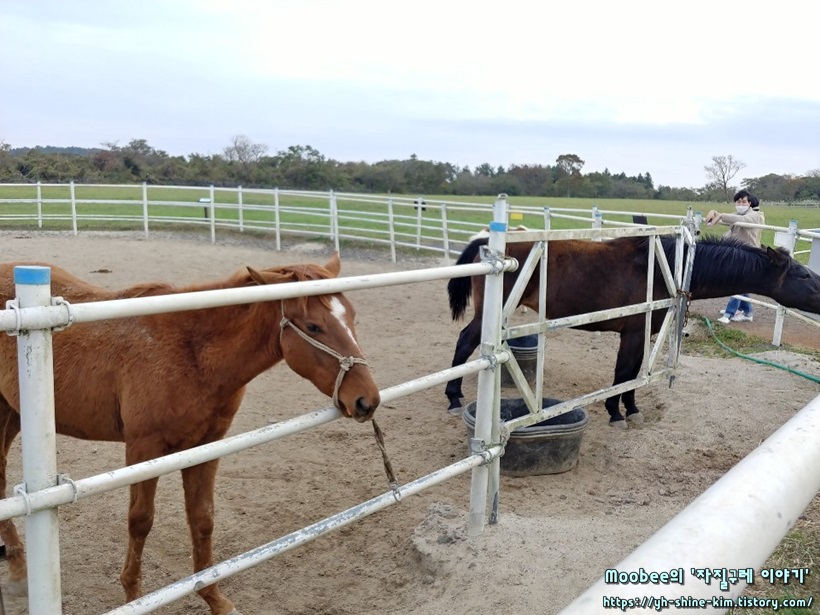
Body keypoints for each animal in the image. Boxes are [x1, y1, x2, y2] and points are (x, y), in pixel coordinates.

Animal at [0, 254, 380, 615]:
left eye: (352, 316)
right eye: (314, 326)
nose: (367, 400)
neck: (191, 352)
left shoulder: (205, 446)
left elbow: (202, 518)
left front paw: (215, 599)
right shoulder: (143, 449)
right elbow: (140, 521)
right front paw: (134, 598)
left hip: (14, 415)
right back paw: (19, 573)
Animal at [448, 236, 820, 424]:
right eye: (803, 275)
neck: (664, 266)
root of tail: (487, 245)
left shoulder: (644, 333)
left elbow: (634, 372)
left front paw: (631, 408)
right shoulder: (634, 332)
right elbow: (624, 372)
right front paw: (616, 412)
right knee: (465, 341)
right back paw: (452, 397)